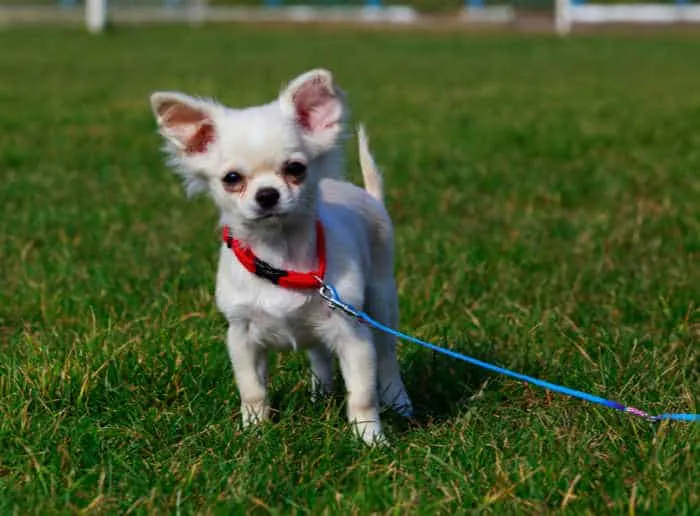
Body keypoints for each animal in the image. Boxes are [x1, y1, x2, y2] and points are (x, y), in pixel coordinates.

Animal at [148, 68, 410, 444]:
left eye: (296, 168)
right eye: (231, 178)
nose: (267, 194)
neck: (280, 259)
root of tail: (369, 197)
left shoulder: (353, 334)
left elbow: (362, 394)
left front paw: (370, 440)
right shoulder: (241, 336)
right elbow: (253, 390)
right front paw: (254, 432)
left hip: (381, 301)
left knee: (387, 357)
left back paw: (399, 403)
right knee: (319, 355)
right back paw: (321, 395)